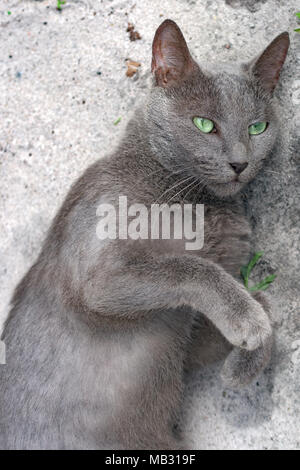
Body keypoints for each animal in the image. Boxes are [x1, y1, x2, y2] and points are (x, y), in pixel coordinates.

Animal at [0, 20, 290, 450]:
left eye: (259, 127)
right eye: (204, 124)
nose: (240, 163)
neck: (196, 201)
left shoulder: (185, 334)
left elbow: (257, 303)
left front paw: (243, 360)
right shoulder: (99, 276)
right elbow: (190, 268)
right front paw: (247, 323)